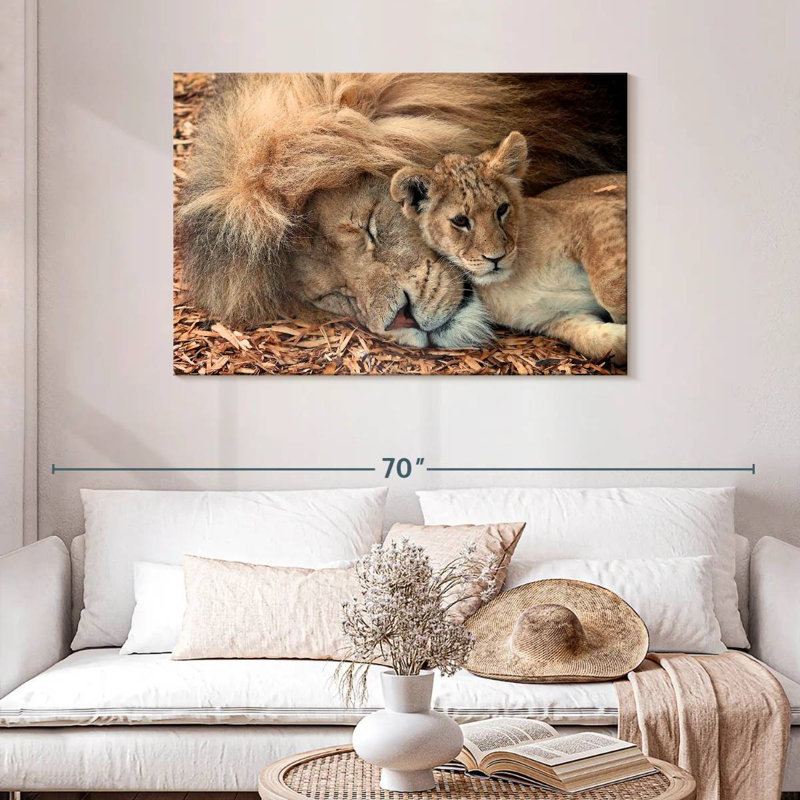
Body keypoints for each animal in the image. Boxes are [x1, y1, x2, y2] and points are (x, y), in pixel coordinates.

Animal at [390, 131, 627, 363]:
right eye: (460, 221)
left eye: (502, 209)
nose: (495, 258)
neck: (511, 279)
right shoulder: (559, 317)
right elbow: (601, 343)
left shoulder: (597, 210)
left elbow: (611, 291)